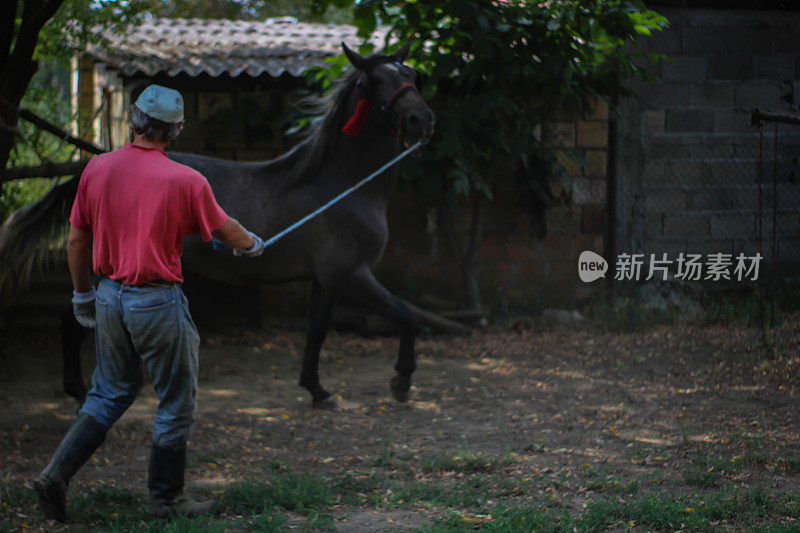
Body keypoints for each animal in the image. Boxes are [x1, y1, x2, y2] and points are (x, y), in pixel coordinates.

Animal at [0, 42, 432, 408]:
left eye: (410, 73)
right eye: (374, 82)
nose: (421, 119)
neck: (340, 186)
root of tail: (88, 175)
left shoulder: (327, 280)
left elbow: (317, 331)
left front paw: (317, 389)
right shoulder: (353, 275)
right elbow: (407, 316)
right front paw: (401, 381)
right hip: (97, 271)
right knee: (73, 320)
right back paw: (77, 389)